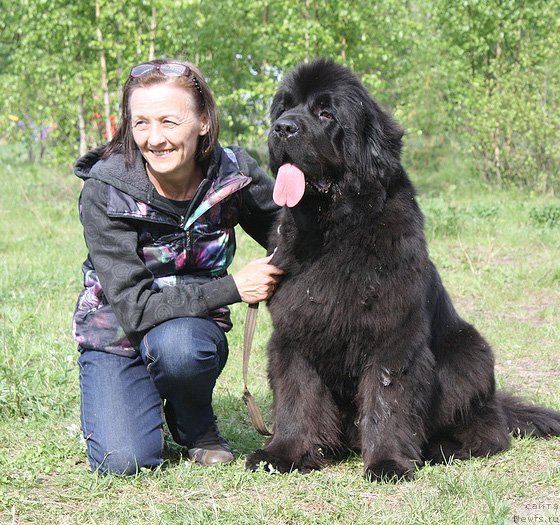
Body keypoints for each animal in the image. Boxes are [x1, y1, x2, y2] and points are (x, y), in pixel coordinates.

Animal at [247, 59, 560, 482]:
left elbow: (388, 398)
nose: (282, 129)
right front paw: (283, 454)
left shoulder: (393, 334)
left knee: (488, 430)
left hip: (469, 354)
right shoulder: (295, 332)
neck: (335, 231)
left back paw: (443, 448)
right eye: (284, 107)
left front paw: (388, 462)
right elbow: (297, 398)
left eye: (326, 113)